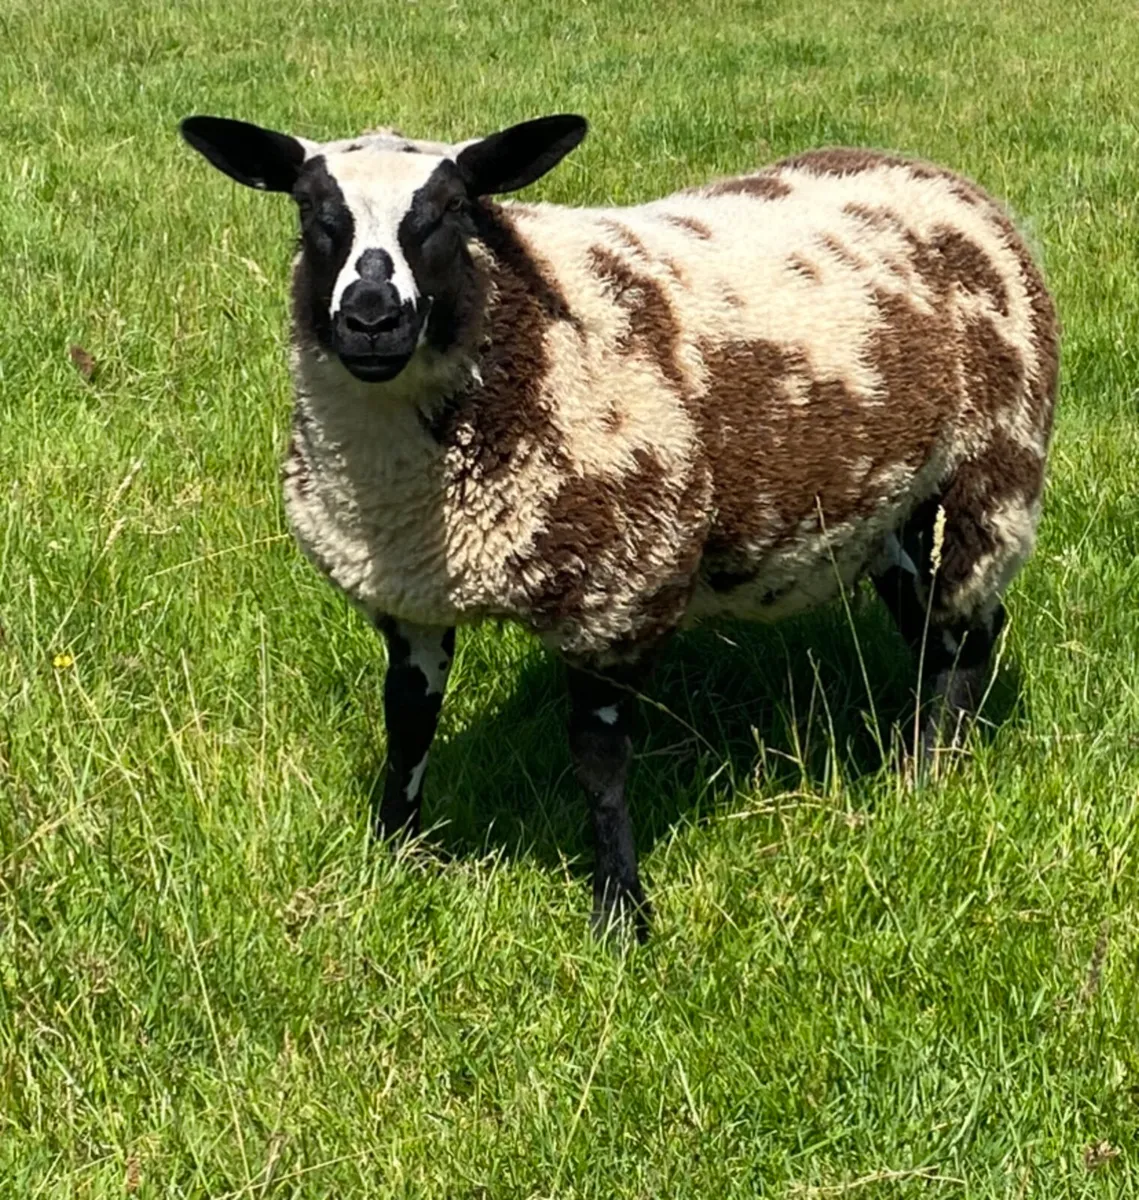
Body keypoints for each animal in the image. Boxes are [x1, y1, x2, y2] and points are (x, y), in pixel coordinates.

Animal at [180, 113, 1059, 941]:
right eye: (310, 211)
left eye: (452, 209)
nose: (370, 318)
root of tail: (928, 172)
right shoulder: (406, 596)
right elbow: (406, 722)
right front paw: (393, 859)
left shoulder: (618, 592)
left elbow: (598, 761)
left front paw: (620, 913)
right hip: (888, 509)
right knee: (937, 625)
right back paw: (918, 753)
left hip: (994, 466)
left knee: (965, 629)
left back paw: (932, 771)